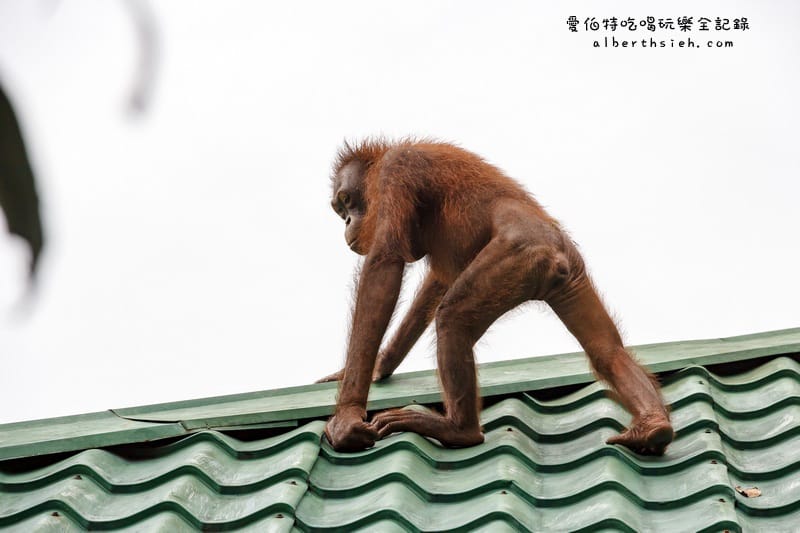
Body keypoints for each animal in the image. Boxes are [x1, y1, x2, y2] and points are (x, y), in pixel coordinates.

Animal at [318, 138, 674, 456]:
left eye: (347, 201)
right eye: (341, 209)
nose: (347, 221)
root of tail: (556, 253)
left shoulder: (397, 170)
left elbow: (385, 265)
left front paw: (348, 416)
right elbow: (436, 281)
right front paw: (380, 366)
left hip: (519, 254)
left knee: (452, 317)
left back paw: (459, 430)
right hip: (571, 274)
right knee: (606, 350)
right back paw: (653, 426)